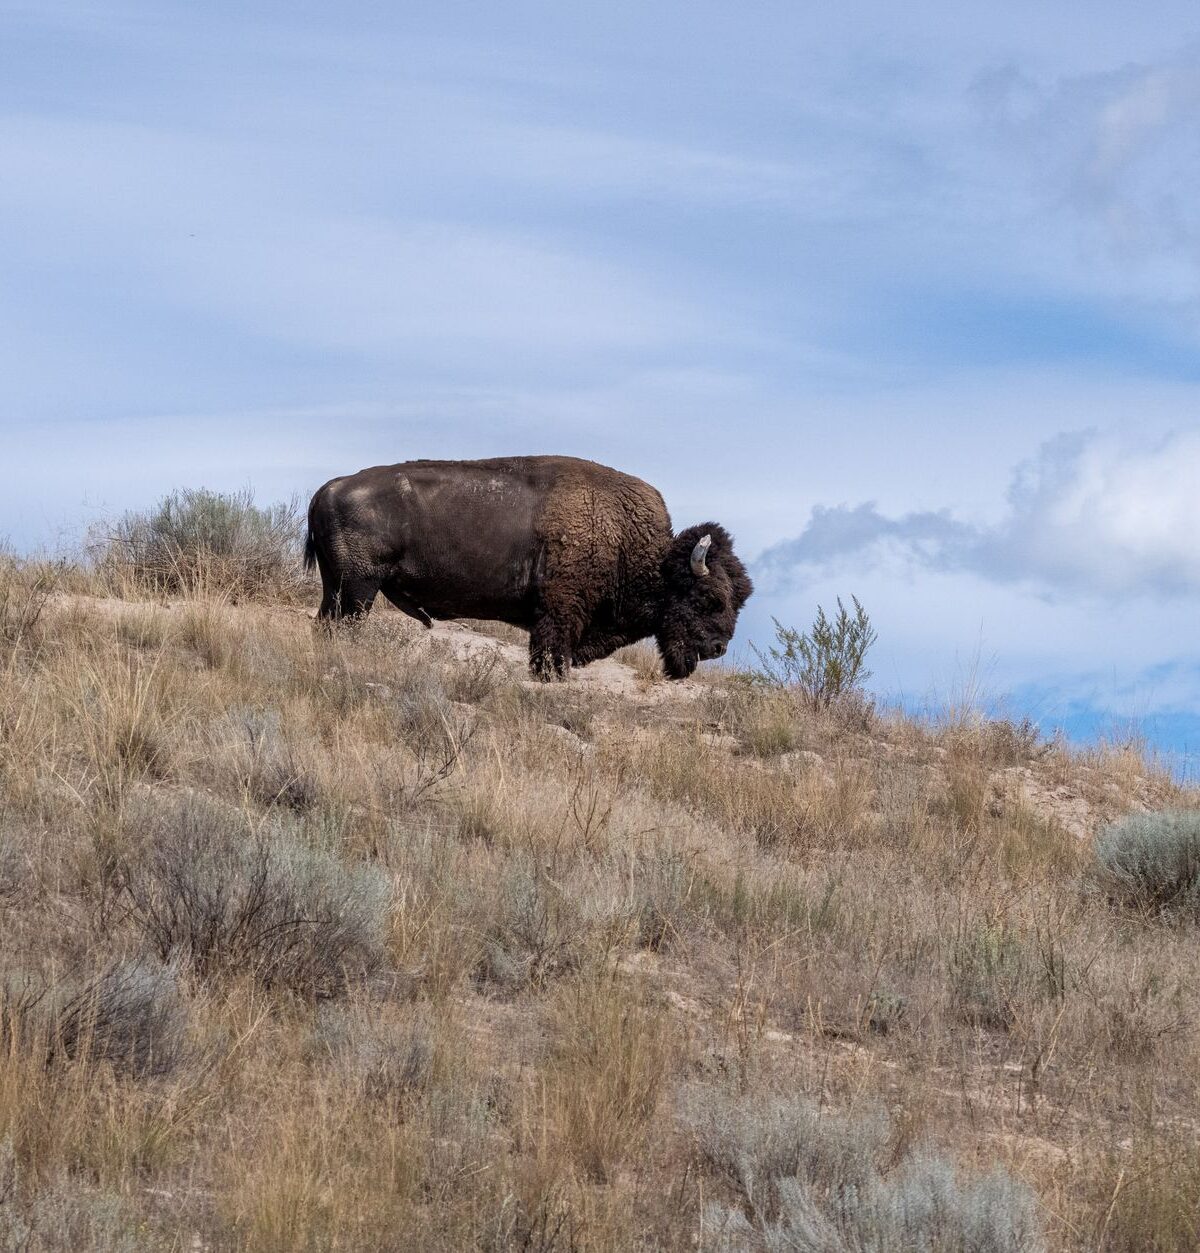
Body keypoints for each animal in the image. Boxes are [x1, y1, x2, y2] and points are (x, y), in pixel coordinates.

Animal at [305, 455, 752, 680]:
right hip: (358, 589)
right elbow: (550, 659)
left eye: (741, 600)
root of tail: (327, 488)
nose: (717, 648)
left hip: (338, 588)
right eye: (709, 598)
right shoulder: (558, 617)